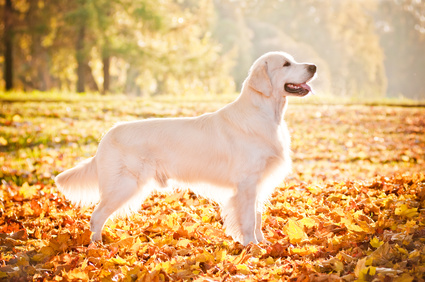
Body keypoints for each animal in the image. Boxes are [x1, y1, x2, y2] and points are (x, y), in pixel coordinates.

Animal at [55, 51, 314, 246]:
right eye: (286, 64)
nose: (314, 66)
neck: (265, 114)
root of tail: (106, 136)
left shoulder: (258, 183)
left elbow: (258, 217)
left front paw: (263, 244)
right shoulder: (247, 183)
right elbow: (249, 220)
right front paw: (251, 247)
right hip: (123, 185)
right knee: (96, 216)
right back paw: (97, 248)